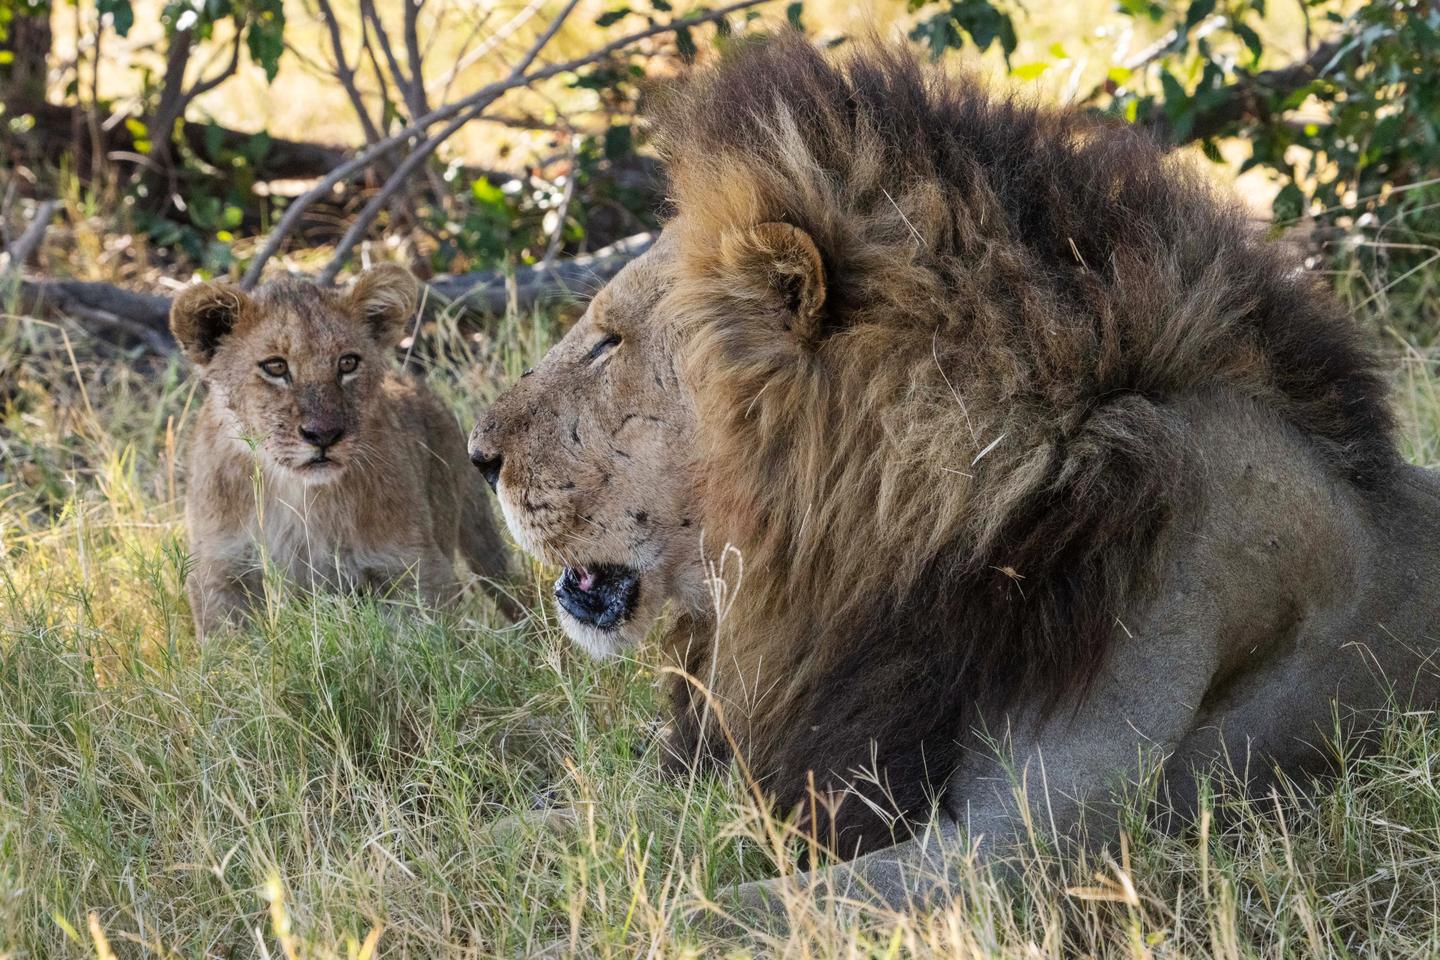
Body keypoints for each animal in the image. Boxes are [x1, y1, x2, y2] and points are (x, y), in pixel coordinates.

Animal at [171, 265, 516, 640]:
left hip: (478, 528)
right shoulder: (220, 571)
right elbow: (228, 644)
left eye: (348, 363)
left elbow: (427, 642)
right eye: (275, 367)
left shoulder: (414, 566)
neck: (296, 496)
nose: (323, 435)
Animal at [469, 36, 1440, 914]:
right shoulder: (787, 762)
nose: (478, 456)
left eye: (609, 343)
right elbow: (563, 821)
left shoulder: (1023, 850)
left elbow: (720, 912)